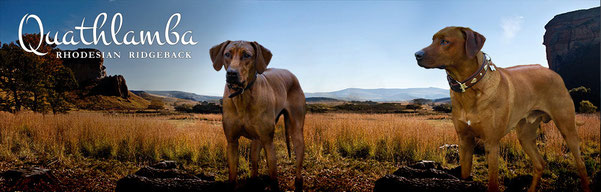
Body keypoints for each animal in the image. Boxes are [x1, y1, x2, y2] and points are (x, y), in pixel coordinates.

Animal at [210, 40, 304, 190]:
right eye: (227, 54)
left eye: (247, 55)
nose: (231, 74)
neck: (242, 96)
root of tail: (290, 73)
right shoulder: (232, 141)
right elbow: (232, 176)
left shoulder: (268, 142)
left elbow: (274, 178)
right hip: (256, 140)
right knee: (254, 162)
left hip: (296, 132)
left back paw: (299, 180)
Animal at [414, 27, 588, 192]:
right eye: (433, 40)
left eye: (445, 41)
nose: (416, 54)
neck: (469, 87)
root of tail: (555, 74)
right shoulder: (464, 140)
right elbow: (464, 173)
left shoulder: (491, 143)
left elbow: (493, 182)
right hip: (525, 135)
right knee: (540, 164)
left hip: (567, 128)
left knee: (581, 164)